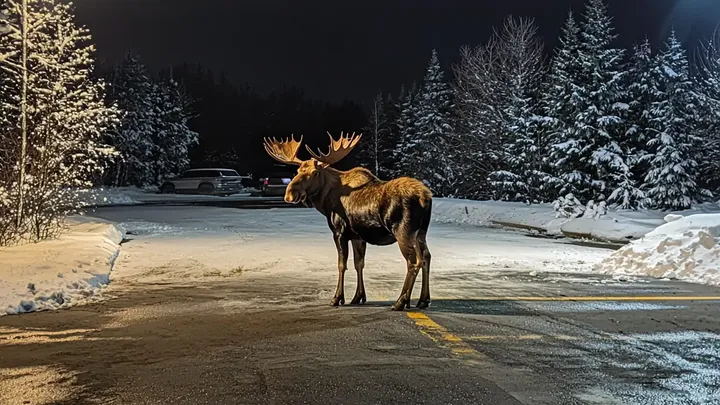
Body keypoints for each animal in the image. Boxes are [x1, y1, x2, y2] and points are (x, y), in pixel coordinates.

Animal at [263, 132, 433, 311]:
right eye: (297, 171)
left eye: (315, 173)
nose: (290, 194)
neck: (325, 202)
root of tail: (425, 197)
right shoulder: (358, 236)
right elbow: (359, 264)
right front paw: (358, 297)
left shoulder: (339, 232)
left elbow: (341, 265)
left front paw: (337, 298)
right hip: (421, 233)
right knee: (426, 257)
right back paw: (423, 300)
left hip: (403, 232)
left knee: (413, 262)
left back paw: (401, 301)